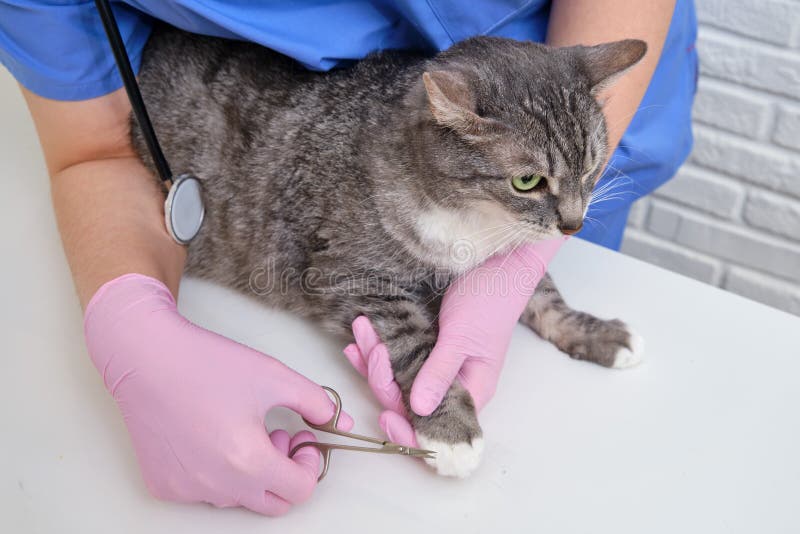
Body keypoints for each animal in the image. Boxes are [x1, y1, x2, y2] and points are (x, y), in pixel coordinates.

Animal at [130, 25, 644, 480]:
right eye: (527, 180)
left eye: (593, 167)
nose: (573, 225)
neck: (475, 220)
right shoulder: (350, 272)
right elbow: (415, 344)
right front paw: (449, 426)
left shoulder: (512, 246)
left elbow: (540, 292)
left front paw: (595, 332)